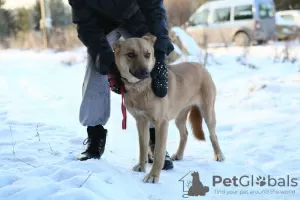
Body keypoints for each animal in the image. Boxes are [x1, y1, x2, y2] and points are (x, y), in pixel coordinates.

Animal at [113, 34, 225, 183]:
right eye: (130, 54)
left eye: (148, 54)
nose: (145, 73)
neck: (140, 89)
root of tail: (200, 66)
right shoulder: (141, 122)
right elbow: (143, 147)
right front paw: (142, 167)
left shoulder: (161, 124)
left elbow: (159, 153)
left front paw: (153, 175)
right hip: (179, 117)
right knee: (185, 134)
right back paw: (179, 154)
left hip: (208, 113)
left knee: (213, 135)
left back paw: (219, 154)